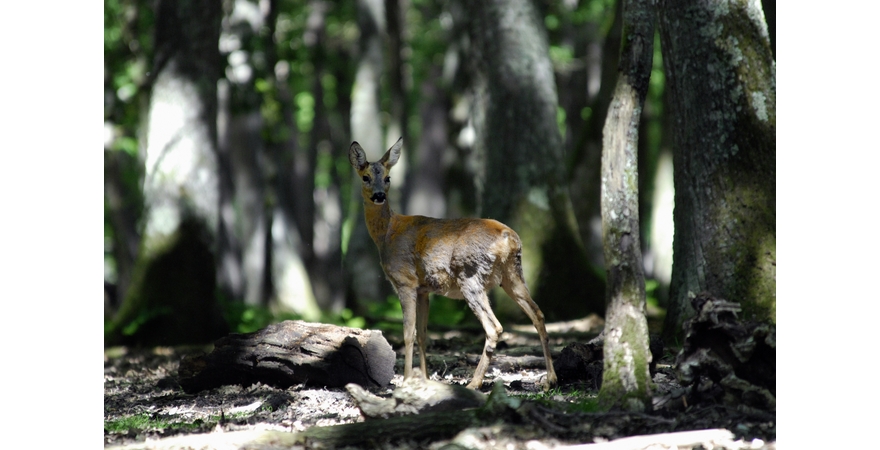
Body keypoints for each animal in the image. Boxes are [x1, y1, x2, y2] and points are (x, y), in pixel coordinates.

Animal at [348, 137, 556, 390]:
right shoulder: (424, 289)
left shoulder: (405, 281)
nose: (379, 196)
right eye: (365, 177)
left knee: (494, 327)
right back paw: (550, 379)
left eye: (388, 178)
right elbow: (422, 334)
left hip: (471, 276)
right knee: (538, 314)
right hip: (512, 274)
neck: (387, 234)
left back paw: (474, 383)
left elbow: (408, 333)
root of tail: (509, 238)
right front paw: (425, 379)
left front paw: (406, 380)